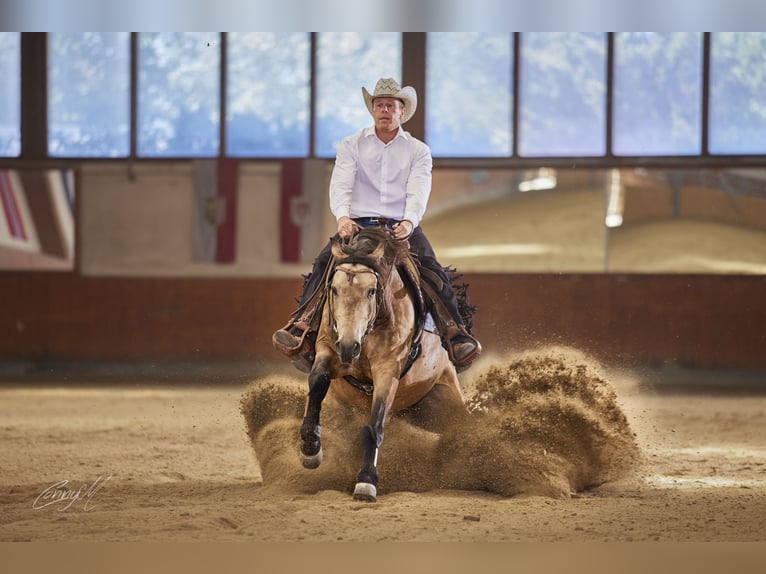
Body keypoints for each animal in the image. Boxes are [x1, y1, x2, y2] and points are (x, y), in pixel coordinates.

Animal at [299, 227, 469, 502]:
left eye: (371, 291)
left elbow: (374, 426)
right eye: (333, 289)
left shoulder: (387, 370)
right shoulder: (328, 349)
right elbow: (317, 383)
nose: (349, 346)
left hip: (447, 401)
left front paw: (366, 481)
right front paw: (310, 448)